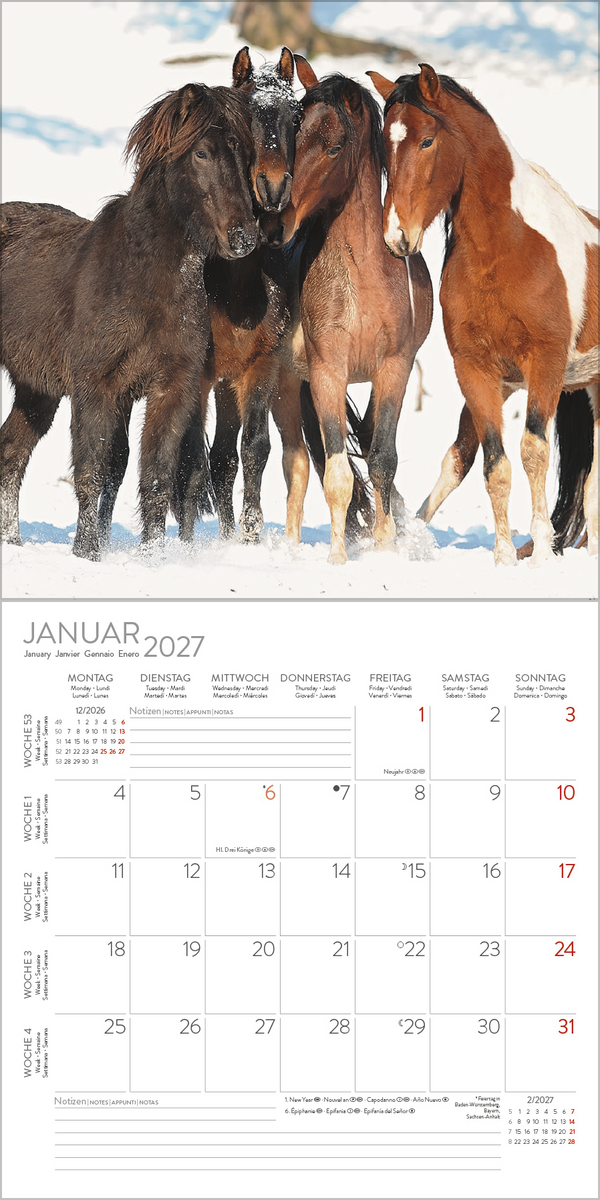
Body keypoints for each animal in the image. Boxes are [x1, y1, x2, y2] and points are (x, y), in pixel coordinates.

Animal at [0, 83, 257, 559]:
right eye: (201, 153)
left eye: (244, 154)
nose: (244, 237)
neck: (142, 279)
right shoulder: (96, 388)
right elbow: (93, 472)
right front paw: (85, 552)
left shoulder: (171, 388)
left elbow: (155, 476)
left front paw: (153, 556)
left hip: (36, 390)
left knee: (11, 452)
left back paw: (13, 540)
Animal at [265, 57, 433, 564]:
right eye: (292, 136)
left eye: (334, 147)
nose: (274, 224)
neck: (363, 277)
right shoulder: (327, 373)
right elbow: (337, 473)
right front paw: (339, 557)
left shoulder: (394, 368)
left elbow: (382, 461)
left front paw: (385, 544)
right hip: (284, 384)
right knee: (298, 463)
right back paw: (292, 546)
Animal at [369, 64, 599, 563]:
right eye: (384, 146)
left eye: (427, 141)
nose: (396, 237)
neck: (506, 248)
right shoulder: (478, 371)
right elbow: (487, 463)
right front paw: (503, 556)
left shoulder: (546, 365)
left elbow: (532, 451)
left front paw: (540, 550)